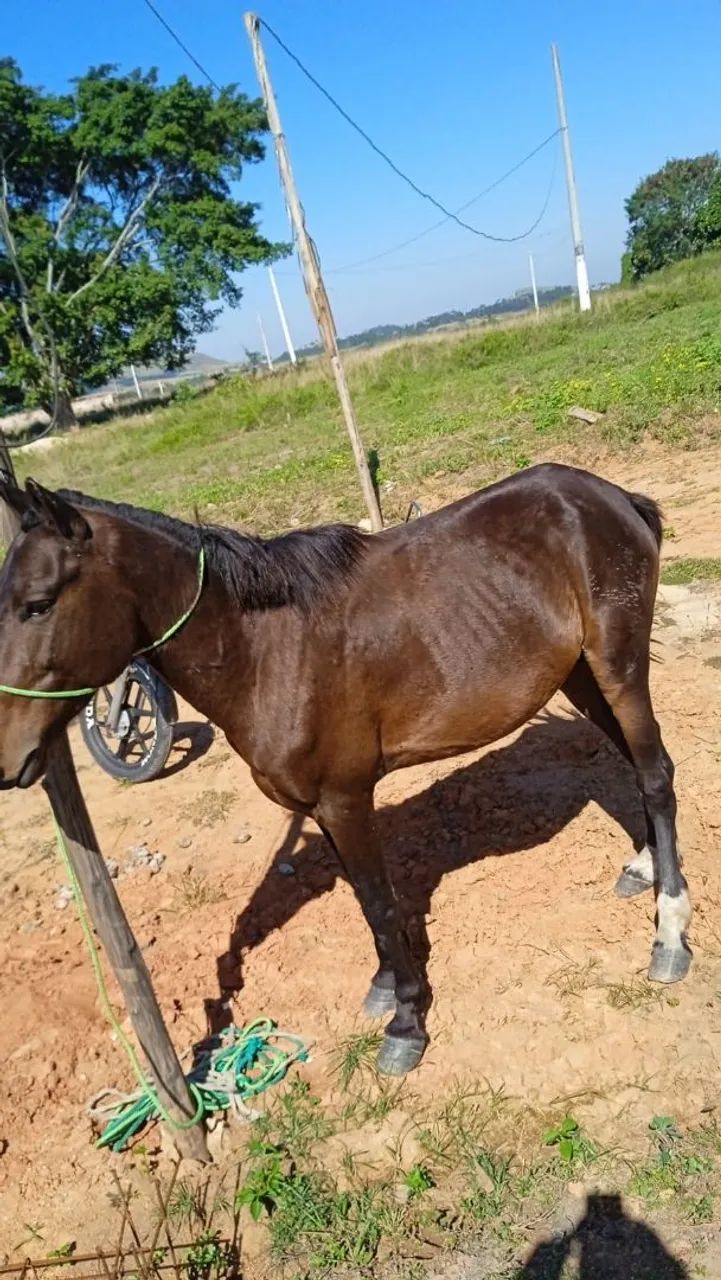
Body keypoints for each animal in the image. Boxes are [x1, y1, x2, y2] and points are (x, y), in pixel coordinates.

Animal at [0, 464, 691, 1075]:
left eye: (38, 604)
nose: (8, 760)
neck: (266, 652)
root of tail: (609, 497)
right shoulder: (321, 807)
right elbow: (365, 901)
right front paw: (386, 984)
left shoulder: (345, 798)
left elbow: (381, 904)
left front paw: (406, 1024)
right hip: (578, 674)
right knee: (637, 765)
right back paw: (645, 866)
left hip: (619, 666)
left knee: (656, 774)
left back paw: (670, 934)